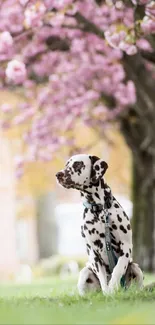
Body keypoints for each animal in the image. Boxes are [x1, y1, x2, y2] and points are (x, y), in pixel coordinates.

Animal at [55, 154, 143, 294]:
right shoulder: (93, 253)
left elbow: (118, 269)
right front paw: (108, 292)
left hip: (136, 268)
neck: (99, 210)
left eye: (78, 164)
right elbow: (102, 278)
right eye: (66, 165)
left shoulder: (126, 247)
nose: (58, 174)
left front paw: (113, 287)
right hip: (85, 273)